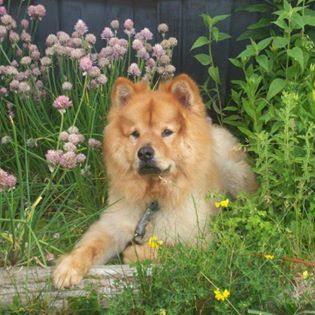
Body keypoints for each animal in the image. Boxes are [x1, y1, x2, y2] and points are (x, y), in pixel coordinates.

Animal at [52, 73, 260, 288]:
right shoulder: (112, 225)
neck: (153, 198)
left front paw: (133, 252)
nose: (144, 152)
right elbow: (90, 246)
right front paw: (68, 266)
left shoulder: (200, 241)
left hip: (234, 174)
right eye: (135, 134)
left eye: (167, 132)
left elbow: (168, 248)